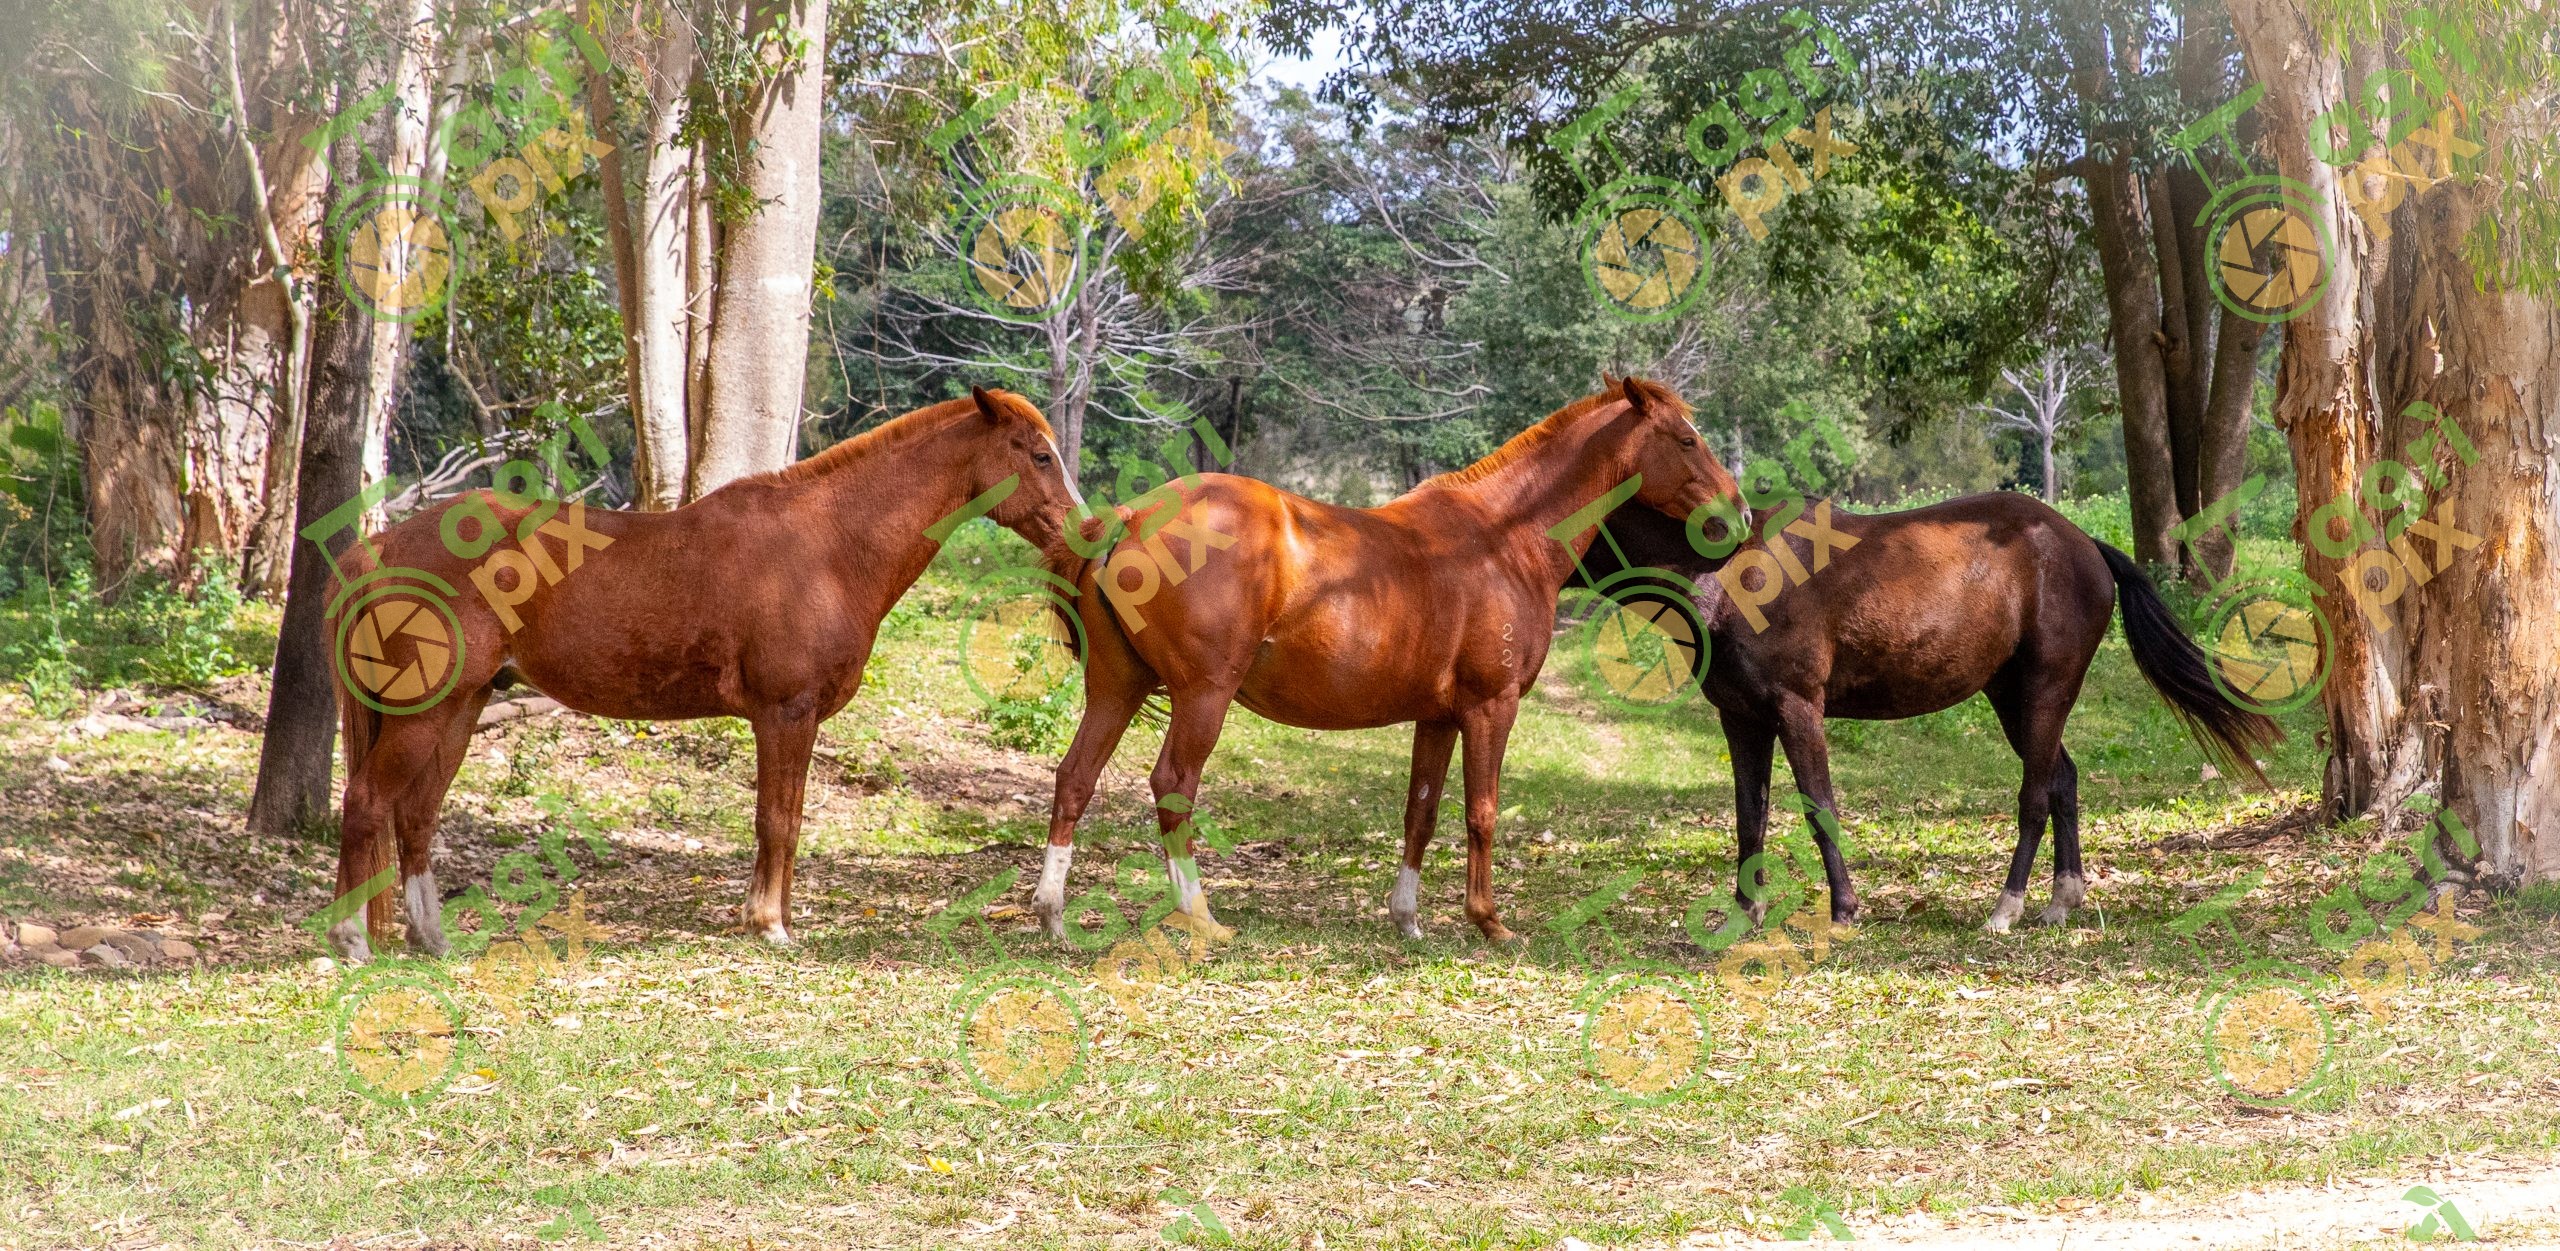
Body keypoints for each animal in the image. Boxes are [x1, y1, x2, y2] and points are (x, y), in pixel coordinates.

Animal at [323, 388, 1083, 962]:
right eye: (1040, 455)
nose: (1082, 531)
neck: (827, 547)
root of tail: (381, 546)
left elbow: (785, 819)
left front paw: (762, 916)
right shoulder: (785, 712)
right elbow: (779, 820)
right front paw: (770, 924)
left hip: (462, 705)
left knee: (416, 815)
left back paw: (431, 939)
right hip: (424, 711)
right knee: (367, 803)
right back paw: (352, 940)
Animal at [1030, 376, 1745, 945]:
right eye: (1686, 440)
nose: (1735, 516)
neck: (1501, 538)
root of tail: (1130, 516)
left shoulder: (1439, 716)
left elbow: (1420, 813)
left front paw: (1408, 920)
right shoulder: (1491, 708)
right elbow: (1481, 811)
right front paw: (1488, 921)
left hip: (1116, 689)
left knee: (1074, 779)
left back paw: (1053, 914)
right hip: (1202, 695)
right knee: (1173, 786)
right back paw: (1199, 914)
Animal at [1574, 491, 2281, 932]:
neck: (1731, 575)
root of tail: (2082, 542)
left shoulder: (1797, 710)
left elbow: (1819, 807)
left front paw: (1843, 910)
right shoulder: (1741, 718)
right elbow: (1751, 817)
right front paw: (1744, 912)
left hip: (2045, 691)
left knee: (2035, 795)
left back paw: (2007, 907)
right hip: (2012, 699)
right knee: (2063, 780)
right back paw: (2063, 898)